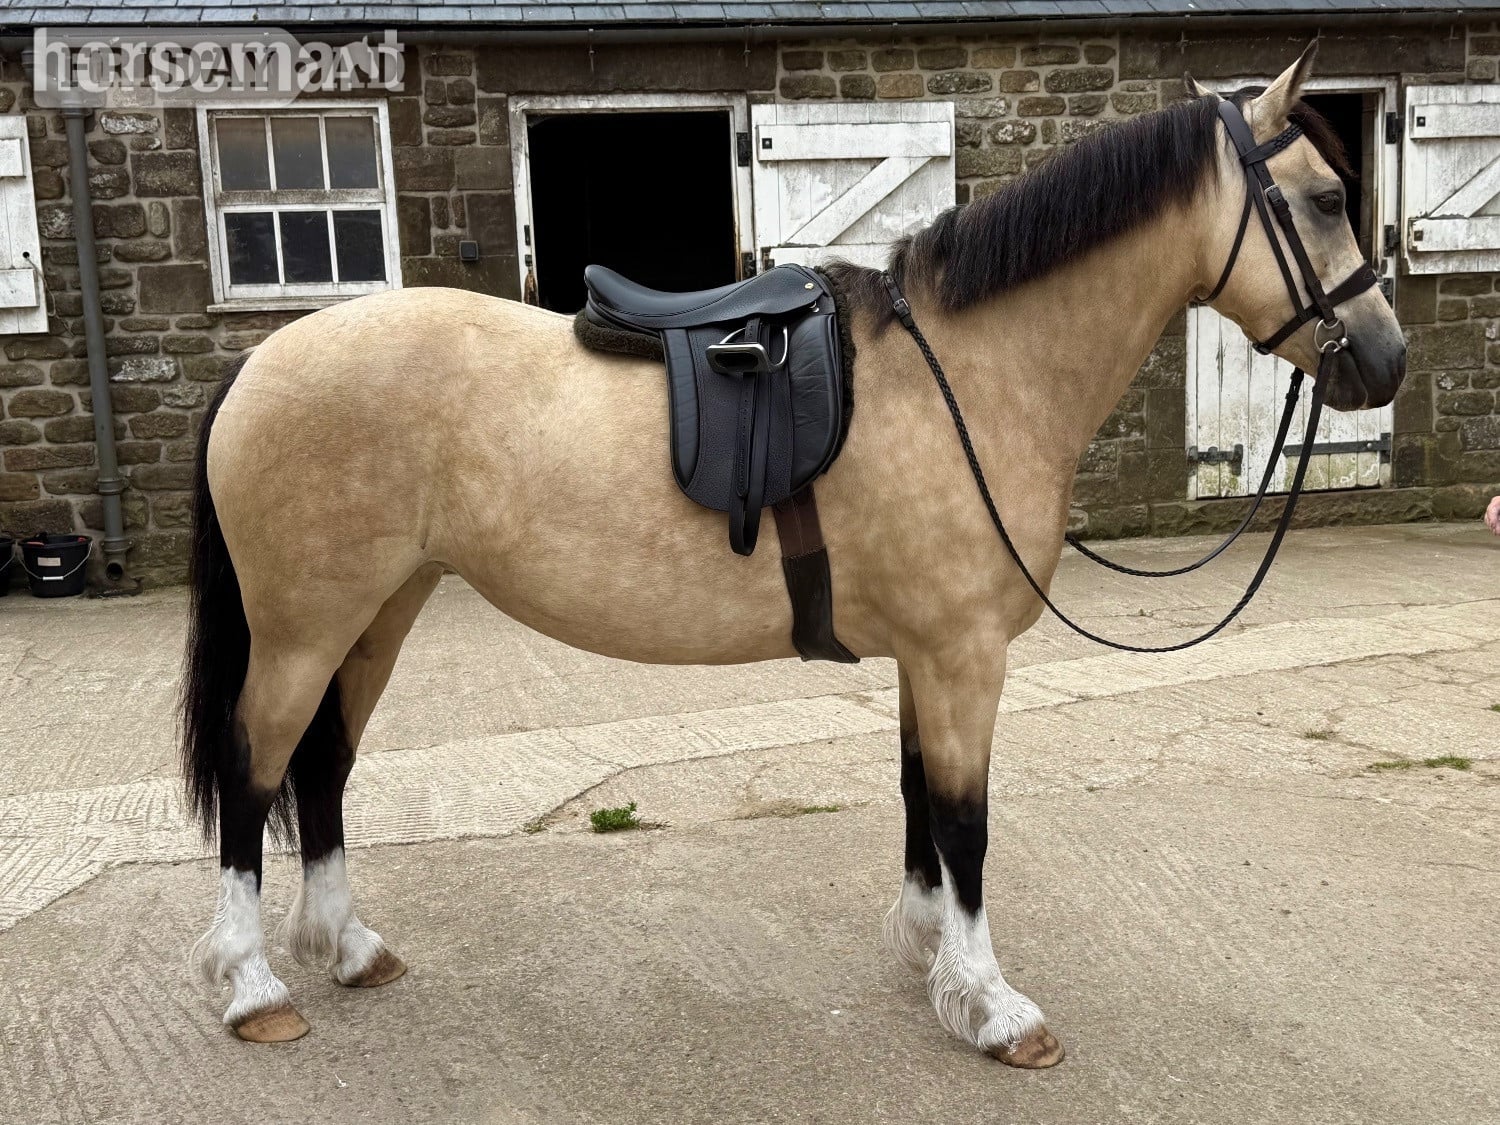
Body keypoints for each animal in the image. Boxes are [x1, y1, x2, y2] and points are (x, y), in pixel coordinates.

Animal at [181, 45, 1405, 1064]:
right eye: (1327, 199)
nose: (1385, 360)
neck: (970, 372)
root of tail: (264, 361)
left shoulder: (927, 656)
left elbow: (919, 801)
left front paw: (926, 953)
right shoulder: (964, 656)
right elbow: (966, 821)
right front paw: (991, 1003)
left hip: (378, 613)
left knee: (324, 767)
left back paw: (348, 949)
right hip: (305, 626)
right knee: (254, 768)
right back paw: (252, 987)